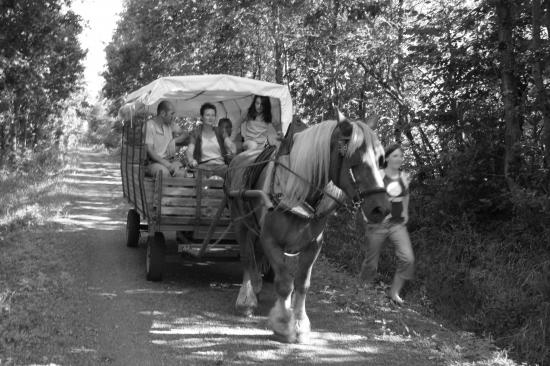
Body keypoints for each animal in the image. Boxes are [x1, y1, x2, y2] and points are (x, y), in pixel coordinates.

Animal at [225, 111, 392, 344]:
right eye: (354, 159)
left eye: (380, 161)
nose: (381, 208)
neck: (296, 192)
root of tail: (239, 157)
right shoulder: (271, 240)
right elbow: (285, 282)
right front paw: (283, 323)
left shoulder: (313, 245)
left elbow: (302, 283)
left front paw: (300, 323)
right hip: (240, 222)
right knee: (247, 258)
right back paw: (246, 299)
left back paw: (257, 287)